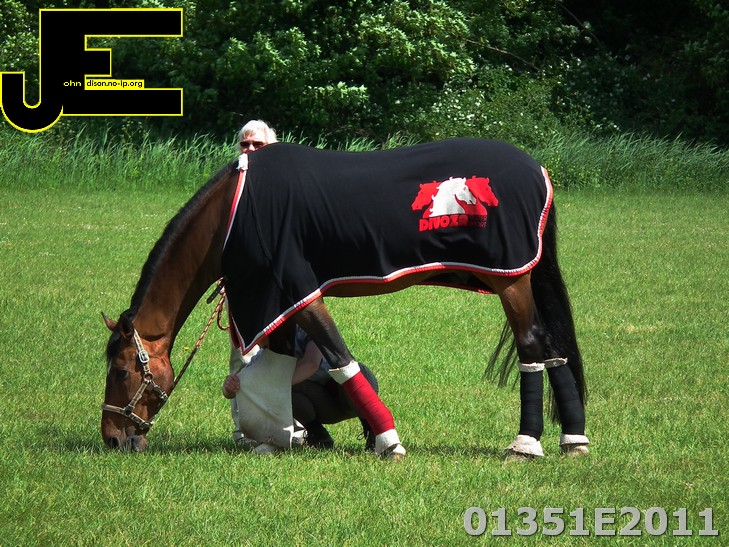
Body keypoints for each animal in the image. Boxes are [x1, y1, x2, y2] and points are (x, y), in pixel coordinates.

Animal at [101, 138, 589, 458]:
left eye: (121, 371)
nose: (112, 437)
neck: (231, 213)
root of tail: (538, 170)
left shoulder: (296, 292)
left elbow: (339, 360)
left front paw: (388, 441)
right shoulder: (279, 306)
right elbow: (276, 371)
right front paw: (287, 436)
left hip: (511, 281)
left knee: (532, 346)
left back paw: (526, 444)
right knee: (553, 346)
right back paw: (572, 439)